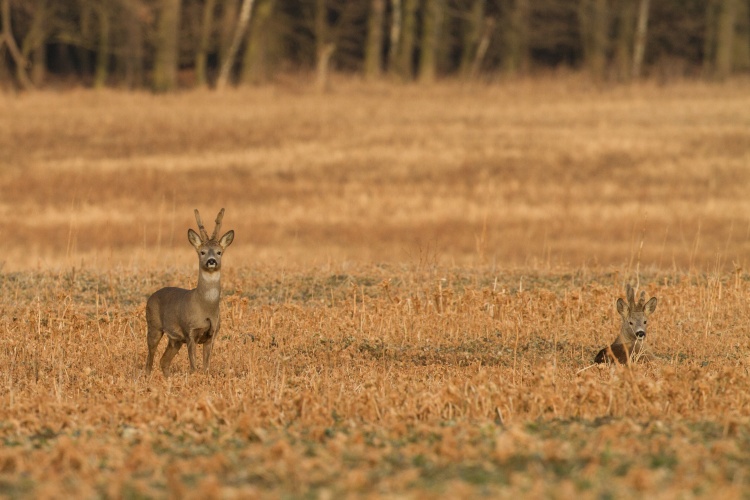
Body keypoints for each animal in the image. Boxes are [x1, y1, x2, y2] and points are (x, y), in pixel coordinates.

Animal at [143, 207, 232, 376]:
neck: (205, 307)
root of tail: (151, 296)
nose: (211, 261)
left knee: (163, 361)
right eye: (202, 252)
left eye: (219, 252)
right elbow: (193, 367)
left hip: (175, 340)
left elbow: (206, 367)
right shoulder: (189, 331)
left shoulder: (212, 335)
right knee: (149, 361)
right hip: (154, 326)